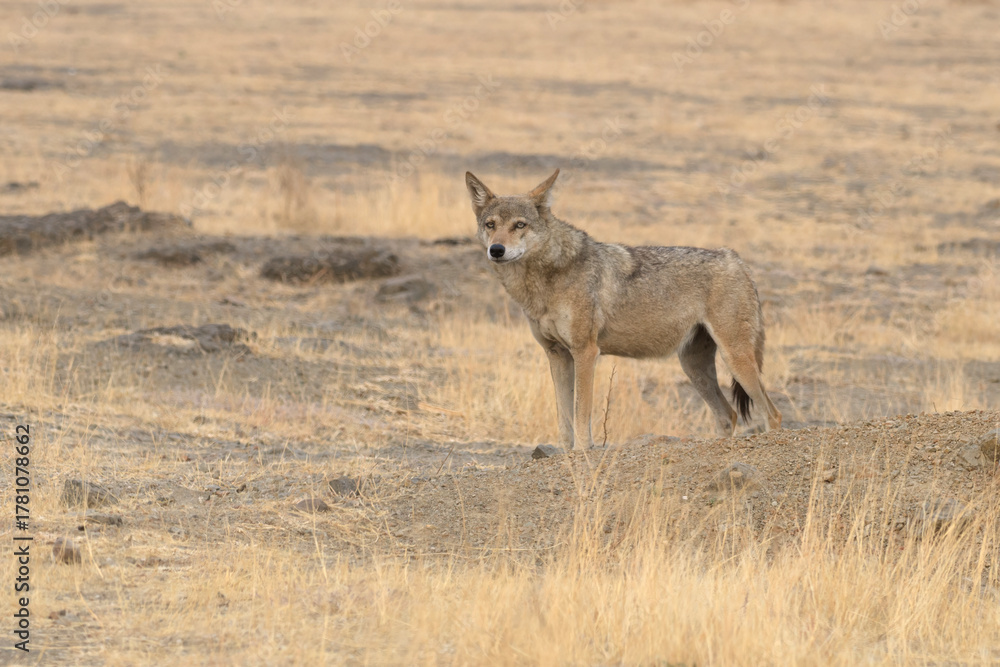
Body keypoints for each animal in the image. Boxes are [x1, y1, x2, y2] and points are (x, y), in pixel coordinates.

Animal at [465, 169, 782, 449]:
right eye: (490, 224)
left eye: (520, 225)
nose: (496, 250)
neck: (543, 281)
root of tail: (736, 259)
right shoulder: (556, 354)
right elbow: (564, 419)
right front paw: (565, 455)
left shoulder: (585, 352)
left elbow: (581, 413)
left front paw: (582, 453)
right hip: (693, 366)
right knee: (728, 415)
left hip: (735, 359)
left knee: (772, 414)